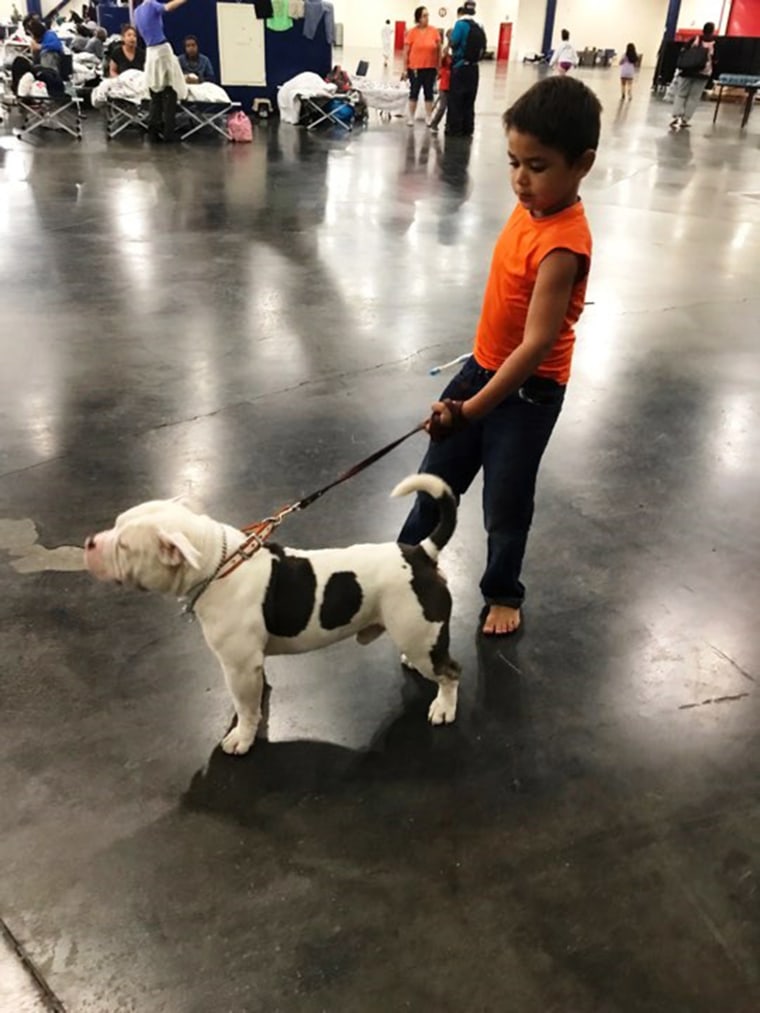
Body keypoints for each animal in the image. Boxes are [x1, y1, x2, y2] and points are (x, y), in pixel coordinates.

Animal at [85, 472, 462, 753]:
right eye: (115, 524)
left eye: (124, 546)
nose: (89, 541)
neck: (217, 564)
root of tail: (421, 554)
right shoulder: (249, 664)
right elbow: (253, 696)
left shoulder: (237, 666)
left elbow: (245, 707)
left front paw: (243, 737)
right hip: (418, 634)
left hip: (420, 637)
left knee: (450, 673)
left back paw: (444, 707)